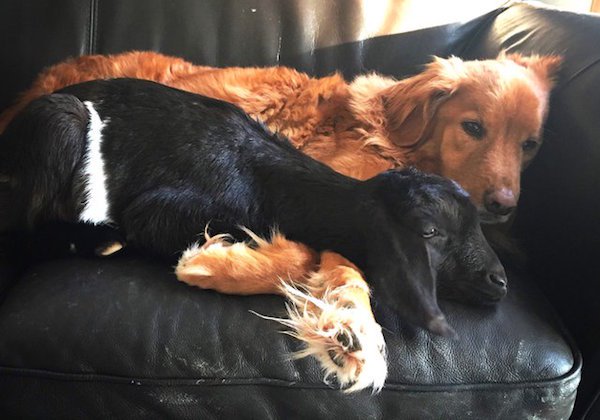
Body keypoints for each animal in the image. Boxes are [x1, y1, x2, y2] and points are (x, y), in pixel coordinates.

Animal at [0, 77, 506, 392]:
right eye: (430, 232)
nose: (500, 281)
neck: (270, 177)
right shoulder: (154, 212)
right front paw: (208, 265)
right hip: (59, 125)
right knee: (21, 231)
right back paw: (98, 240)